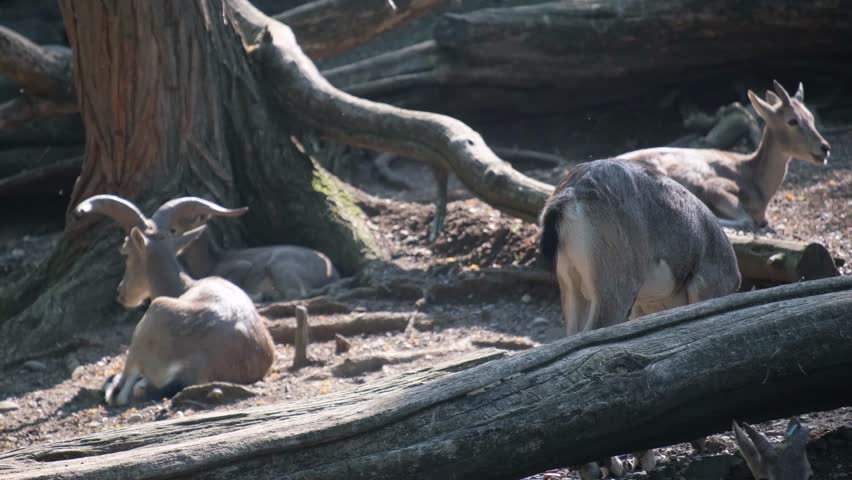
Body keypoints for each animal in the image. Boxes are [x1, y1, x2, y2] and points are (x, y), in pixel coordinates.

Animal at [75, 194, 276, 404]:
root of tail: (196, 364)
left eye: (126, 252)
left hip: (150, 321)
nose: (121, 292)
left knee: (121, 392)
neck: (185, 286)